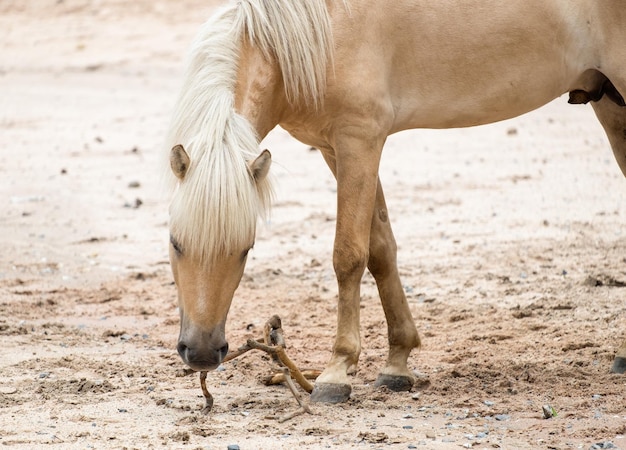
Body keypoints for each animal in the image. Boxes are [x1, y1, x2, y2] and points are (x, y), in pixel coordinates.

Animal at [165, 0, 624, 400]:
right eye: (174, 243)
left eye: (246, 248)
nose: (202, 353)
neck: (322, 27)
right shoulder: (337, 150)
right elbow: (381, 248)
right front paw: (397, 364)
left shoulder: (359, 140)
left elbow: (349, 255)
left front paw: (337, 372)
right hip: (610, 106)